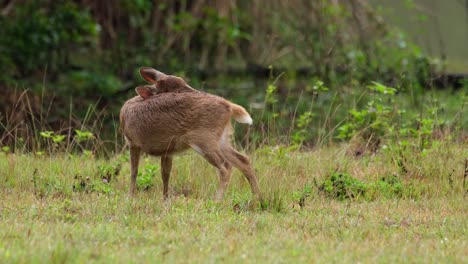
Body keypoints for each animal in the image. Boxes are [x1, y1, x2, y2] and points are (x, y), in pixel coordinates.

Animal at [119, 66, 262, 200]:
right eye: (177, 89)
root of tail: (229, 105)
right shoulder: (167, 150)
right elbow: (165, 175)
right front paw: (165, 199)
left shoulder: (132, 141)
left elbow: (134, 171)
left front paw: (129, 197)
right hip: (221, 139)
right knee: (243, 160)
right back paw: (258, 198)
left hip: (203, 139)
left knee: (226, 166)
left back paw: (217, 199)